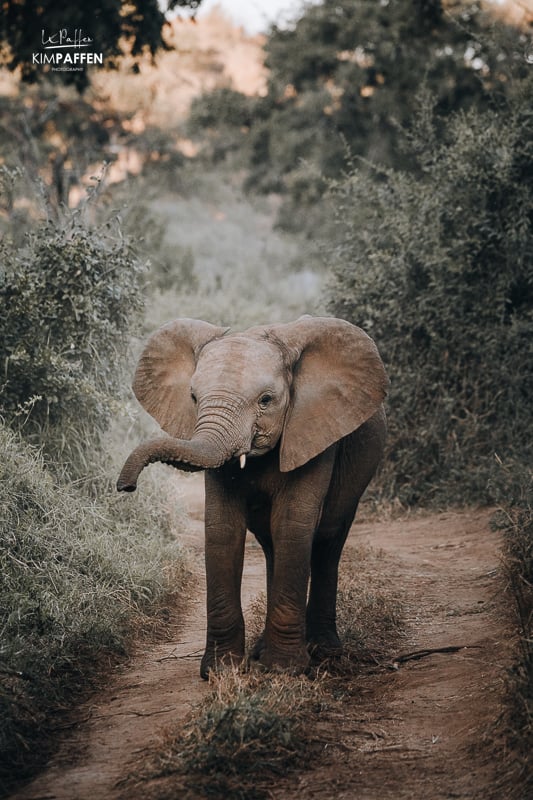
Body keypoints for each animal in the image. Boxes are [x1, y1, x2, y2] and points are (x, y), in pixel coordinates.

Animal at [116, 316, 386, 680]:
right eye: (193, 397)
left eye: (266, 400)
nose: (125, 487)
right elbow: (222, 529)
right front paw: (222, 671)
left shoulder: (313, 430)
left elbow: (293, 525)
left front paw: (284, 670)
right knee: (273, 545)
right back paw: (262, 651)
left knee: (327, 542)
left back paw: (324, 652)